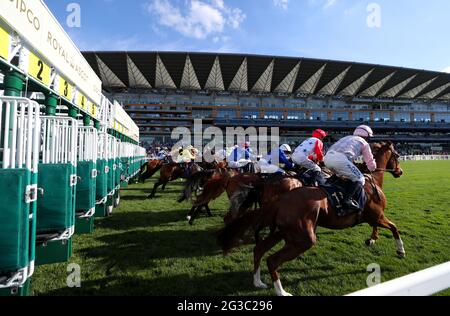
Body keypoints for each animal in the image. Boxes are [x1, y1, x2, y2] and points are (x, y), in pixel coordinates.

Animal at [218, 142, 404, 296]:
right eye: (396, 155)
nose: (400, 171)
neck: (369, 181)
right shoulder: (378, 215)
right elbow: (394, 227)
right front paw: (399, 250)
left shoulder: (374, 217)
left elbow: (382, 227)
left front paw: (372, 239)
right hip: (302, 238)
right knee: (271, 259)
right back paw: (281, 292)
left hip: (281, 231)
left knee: (258, 248)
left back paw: (258, 281)